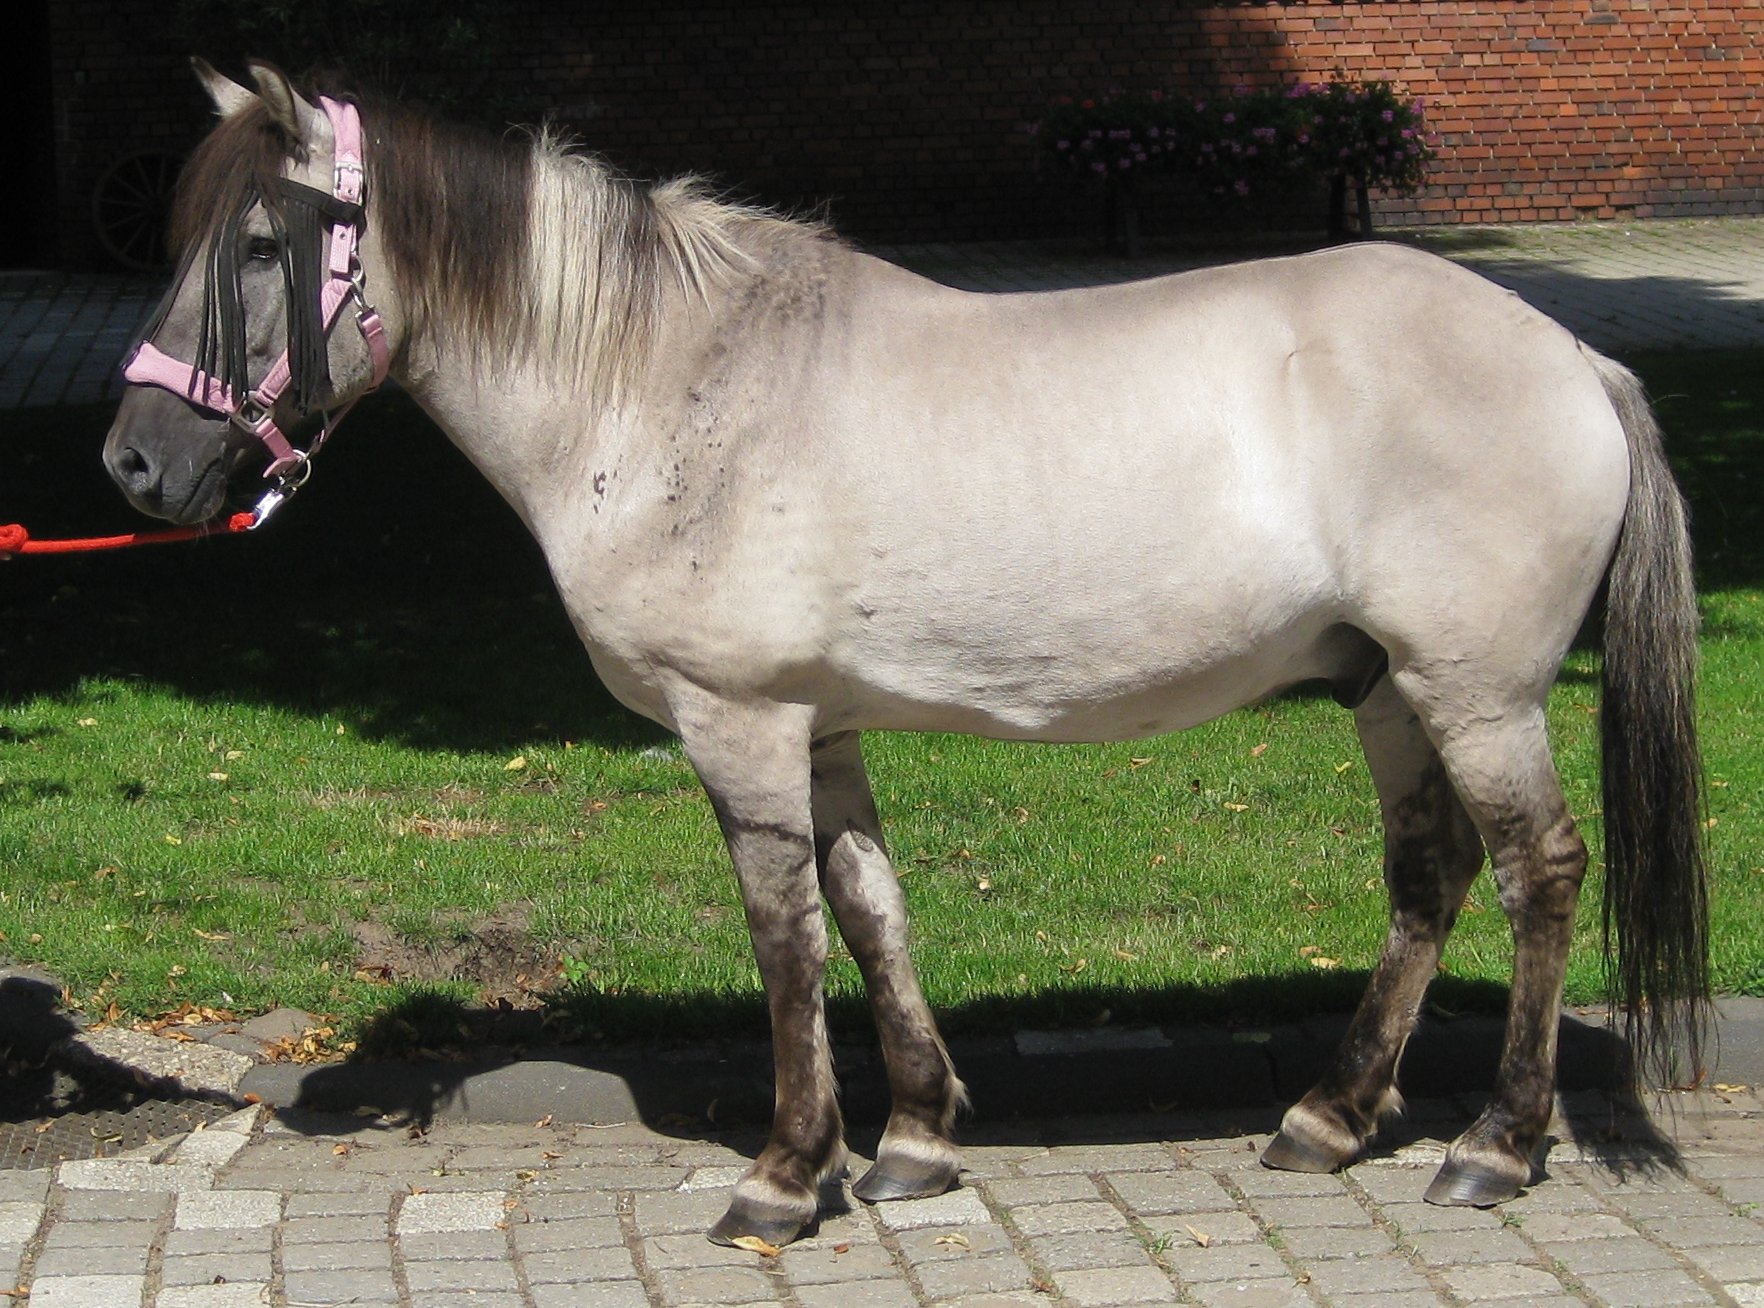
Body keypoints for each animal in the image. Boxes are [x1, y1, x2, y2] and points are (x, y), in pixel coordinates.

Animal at [103, 63, 1700, 1242]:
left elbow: (787, 937)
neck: (665, 384)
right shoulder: (820, 725)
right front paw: (916, 1139)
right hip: (1387, 689)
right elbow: (872, 908)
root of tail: (1573, 357)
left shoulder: (738, 723)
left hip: (1476, 693)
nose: (134, 463)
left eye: (260, 248)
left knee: (1539, 872)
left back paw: (1496, 1144)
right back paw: (1331, 1116)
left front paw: (783, 1176)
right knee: (1431, 878)